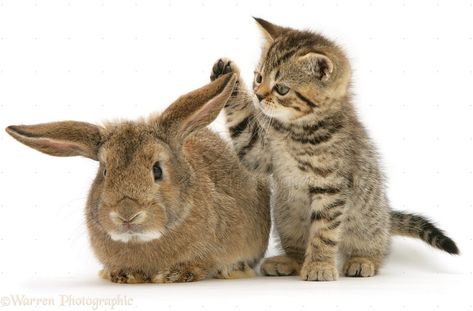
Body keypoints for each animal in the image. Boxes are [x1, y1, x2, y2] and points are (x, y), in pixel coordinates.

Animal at [210, 17, 458, 282]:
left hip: (366, 221)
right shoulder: (259, 152)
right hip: (286, 217)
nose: (257, 96)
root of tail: (386, 216)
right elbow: (243, 125)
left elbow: (324, 232)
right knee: (297, 248)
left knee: (375, 247)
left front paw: (320, 265)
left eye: (281, 89)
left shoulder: (331, 187)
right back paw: (289, 261)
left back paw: (363, 261)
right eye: (258, 78)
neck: (297, 131)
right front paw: (227, 76)